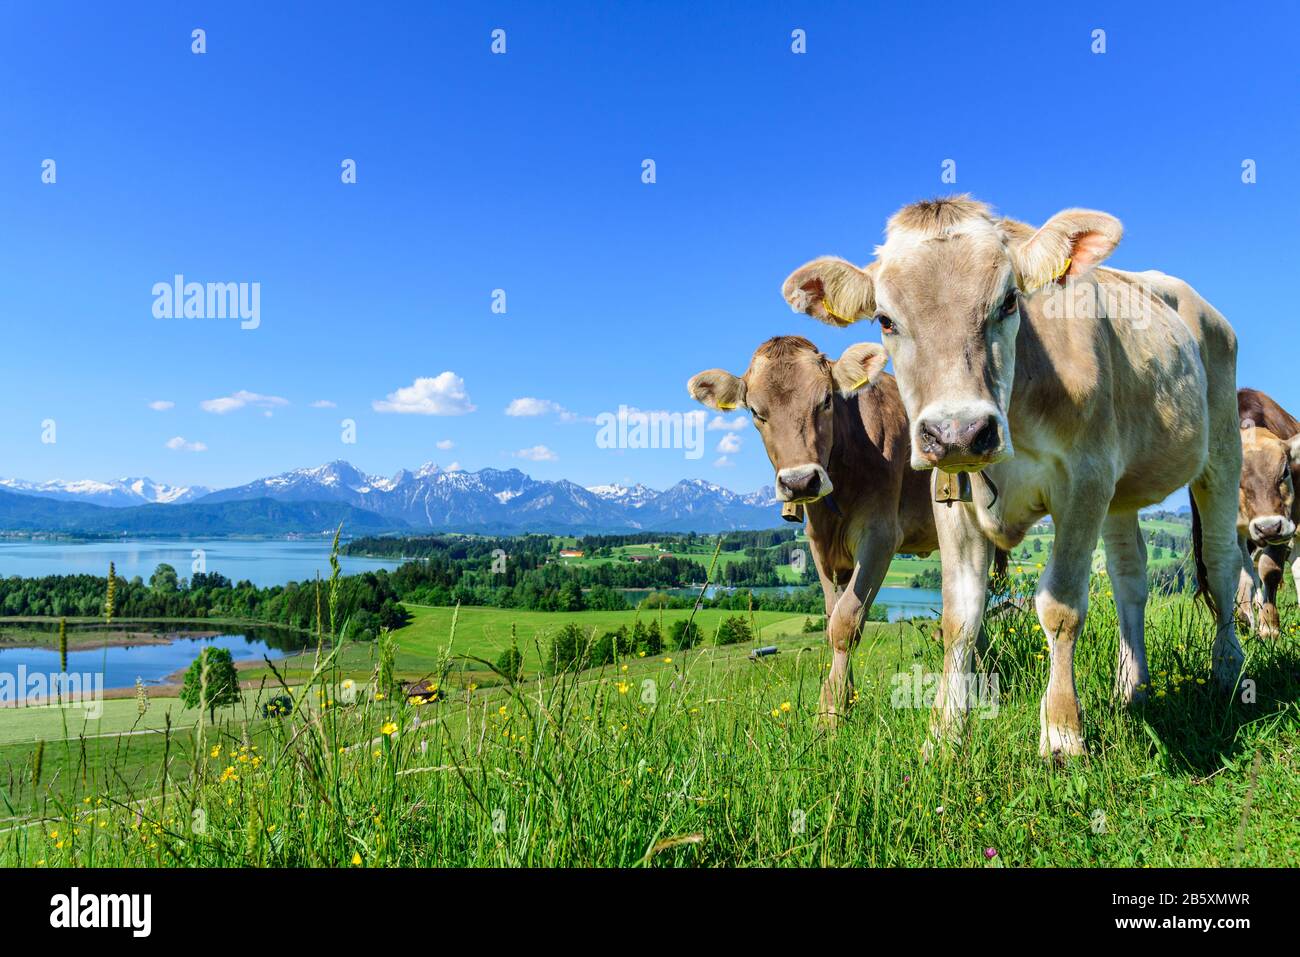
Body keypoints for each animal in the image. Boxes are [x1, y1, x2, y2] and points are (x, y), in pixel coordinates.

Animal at [688, 336, 938, 721]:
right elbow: (833, 616)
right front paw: (847, 699)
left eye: (826, 400)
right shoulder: (820, 545)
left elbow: (847, 621)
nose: (800, 481)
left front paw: (830, 710)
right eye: (755, 412)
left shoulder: (880, 535)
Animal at [781, 196, 1244, 758]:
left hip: (1222, 451)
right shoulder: (952, 494)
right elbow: (960, 617)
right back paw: (1132, 688)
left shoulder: (1084, 481)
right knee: (1130, 576)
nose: (958, 431)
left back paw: (1227, 673)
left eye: (1007, 302)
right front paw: (944, 733)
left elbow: (1061, 608)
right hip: (1120, 490)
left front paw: (1063, 732)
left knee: (1220, 563)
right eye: (886, 320)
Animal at [1235, 388, 1300, 637]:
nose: (1268, 527)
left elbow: (1270, 571)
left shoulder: (1286, 525)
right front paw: (1244, 620)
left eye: (1285, 472)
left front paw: (1270, 627)